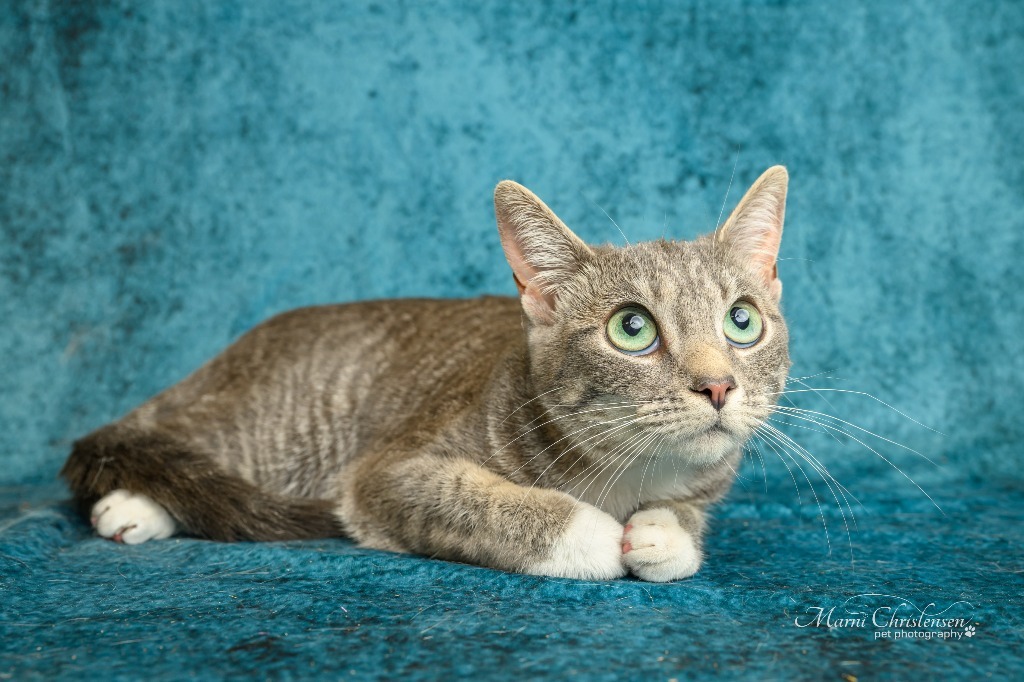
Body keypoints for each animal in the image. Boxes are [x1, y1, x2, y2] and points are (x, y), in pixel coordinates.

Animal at [59, 164, 786, 577]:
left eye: (742, 322)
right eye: (631, 329)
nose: (719, 384)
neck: (628, 470)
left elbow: (689, 511)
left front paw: (669, 532)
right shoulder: (386, 474)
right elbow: (470, 498)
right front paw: (588, 532)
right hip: (281, 430)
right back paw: (132, 501)